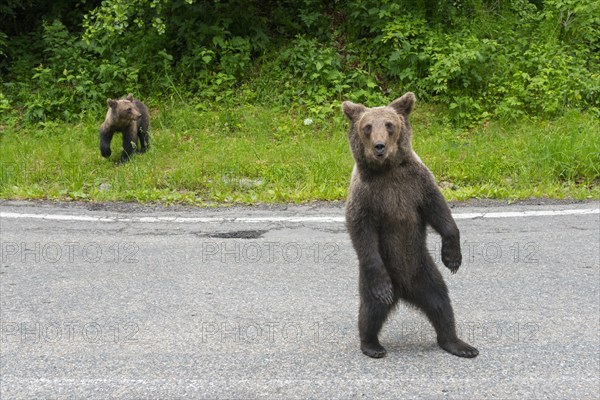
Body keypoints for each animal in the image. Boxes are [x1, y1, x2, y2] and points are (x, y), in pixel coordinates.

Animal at [342, 93, 478, 360]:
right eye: (367, 127)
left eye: (389, 124)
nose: (379, 146)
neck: (387, 171)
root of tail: (404, 290)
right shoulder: (366, 195)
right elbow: (360, 229)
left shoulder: (416, 183)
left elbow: (439, 210)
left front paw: (453, 257)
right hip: (377, 276)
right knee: (371, 309)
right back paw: (372, 345)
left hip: (424, 270)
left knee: (441, 303)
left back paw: (459, 344)